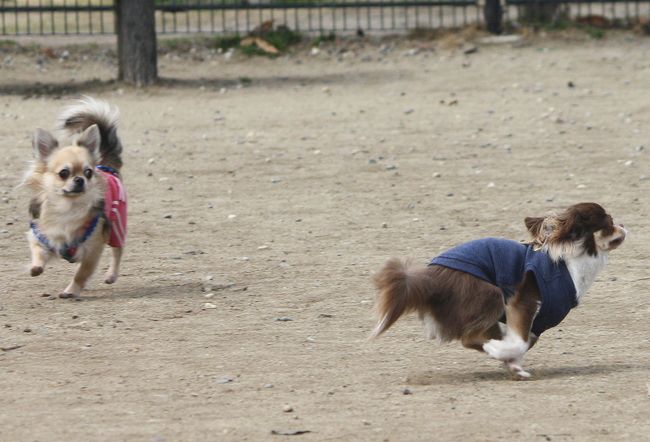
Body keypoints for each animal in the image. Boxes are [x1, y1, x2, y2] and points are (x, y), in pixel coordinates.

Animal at [23, 97, 127, 298]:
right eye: (64, 173)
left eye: (88, 172)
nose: (80, 179)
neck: (68, 207)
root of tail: (107, 167)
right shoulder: (42, 236)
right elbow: (38, 251)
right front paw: (36, 267)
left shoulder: (93, 248)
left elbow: (81, 273)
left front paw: (71, 291)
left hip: (116, 227)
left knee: (117, 251)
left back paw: (111, 275)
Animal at [372, 203, 626, 379]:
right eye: (610, 222)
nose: (624, 225)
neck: (570, 262)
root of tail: (431, 278)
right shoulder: (524, 302)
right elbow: (520, 342)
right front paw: (501, 352)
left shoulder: (536, 321)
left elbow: (524, 341)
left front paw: (513, 364)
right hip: (490, 294)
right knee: (469, 337)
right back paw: (493, 347)